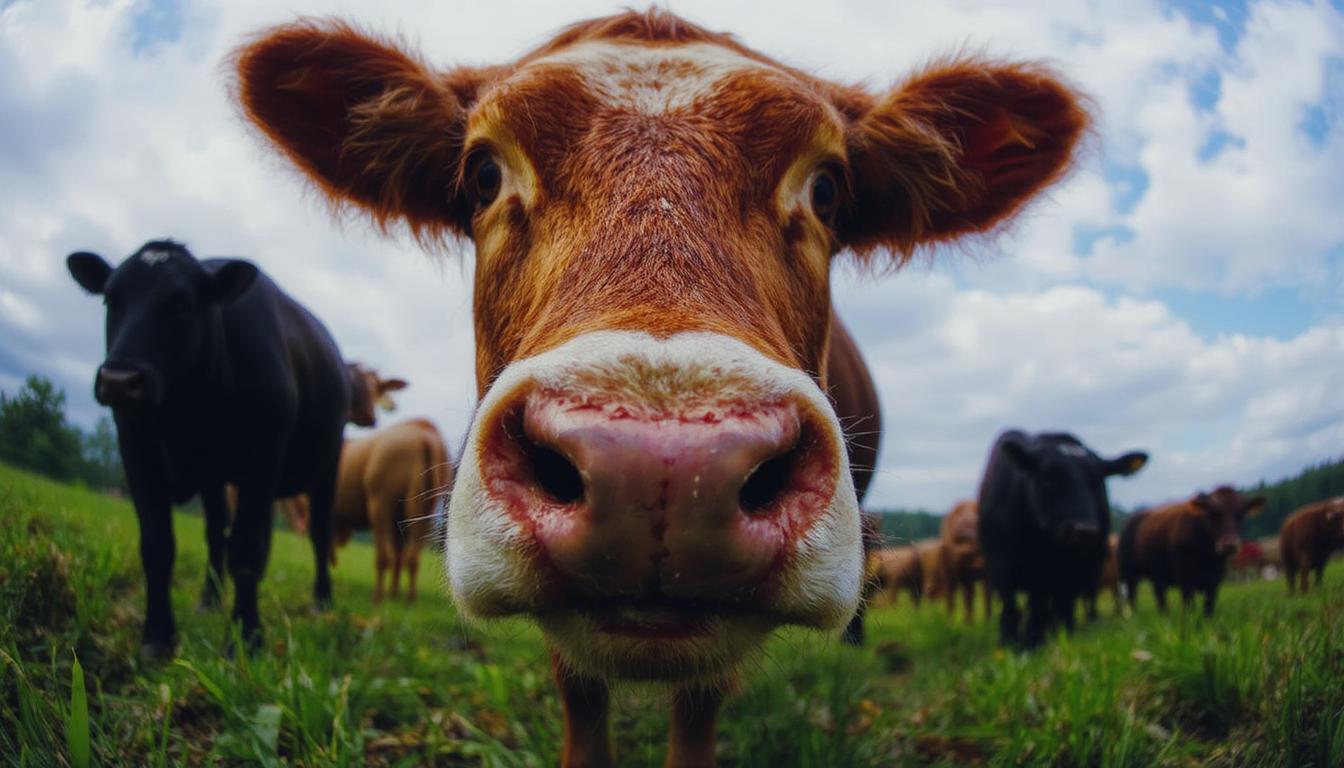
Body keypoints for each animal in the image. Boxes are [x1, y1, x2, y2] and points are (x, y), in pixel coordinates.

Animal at [67, 239, 346, 657]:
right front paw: (157, 636)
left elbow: (246, 548)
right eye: (110, 300)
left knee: (317, 532)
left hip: (326, 467)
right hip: (216, 477)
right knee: (218, 531)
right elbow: (158, 544)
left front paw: (246, 637)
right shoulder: (136, 445)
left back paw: (321, 600)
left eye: (183, 303)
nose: (118, 380)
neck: (186, 407)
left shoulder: (264, 450)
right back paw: (210, 599)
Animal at [978, 430, 1147, 647]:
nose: (1083, 530)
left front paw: (1035, 642)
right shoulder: (1000, 564)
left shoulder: (1066, 574)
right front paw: (1010, 643)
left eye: (1098, 481)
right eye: (1049, 479)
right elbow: (1011, 608)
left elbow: (1044, 607)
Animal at [1118, 486, 1265, 615]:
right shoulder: (1185, 577)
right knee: (1132, 594)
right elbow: (1189, 605)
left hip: (1157, 574)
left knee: (1159, 594)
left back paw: (1164, 614)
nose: (1229, 544)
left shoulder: (1214, 581)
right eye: (1213, 513)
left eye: (1241, 514)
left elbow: (1209, 607)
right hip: (1129, 571)